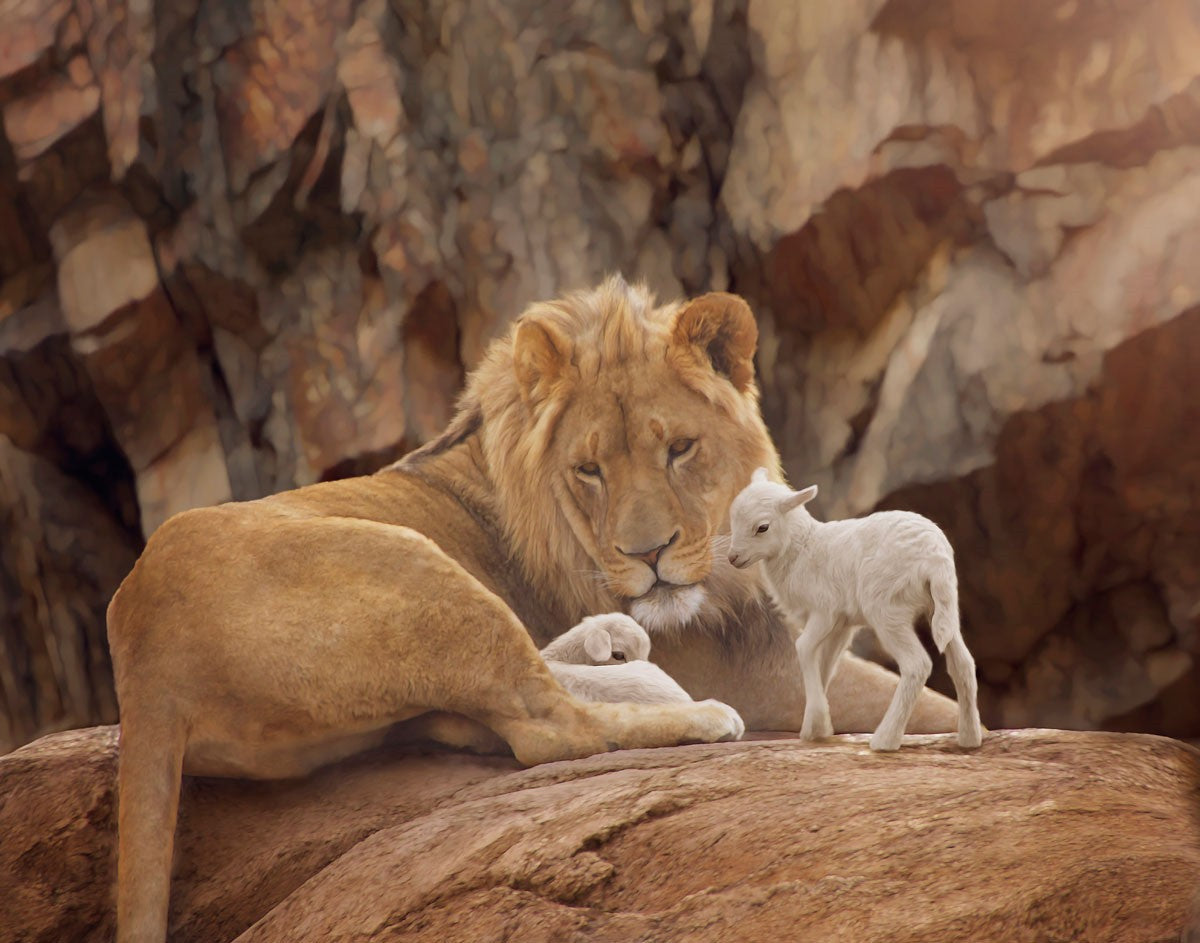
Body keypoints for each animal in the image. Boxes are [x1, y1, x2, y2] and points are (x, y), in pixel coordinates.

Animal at [727, 468, 983, 752]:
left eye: (762, 527)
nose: (733, 558)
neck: (802, 548)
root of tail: (935, 558)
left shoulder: (824, 611)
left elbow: (803, 648)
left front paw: (817, 723)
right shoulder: (842, 624)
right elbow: (826, 664)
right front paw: (816, 727)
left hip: (886, 609)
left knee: (917, 665)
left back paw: (885, 739)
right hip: (943, 606)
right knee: (963, 663)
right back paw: (969, 738)